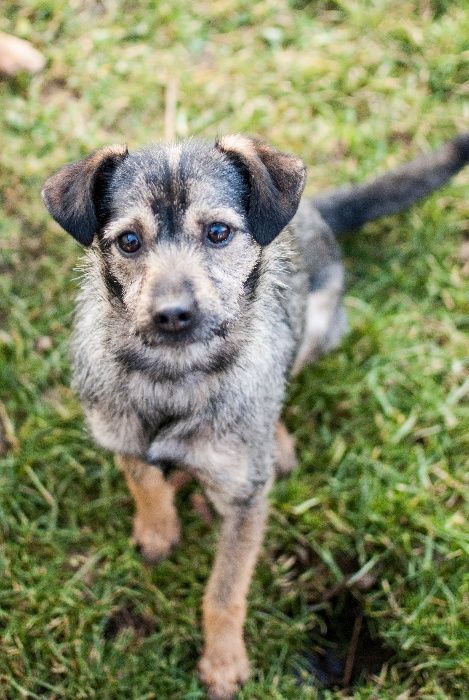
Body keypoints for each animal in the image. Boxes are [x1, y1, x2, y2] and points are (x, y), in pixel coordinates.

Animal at [42, 134, 466, 696]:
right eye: (129, 241)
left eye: (219, 232)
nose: (172, 314)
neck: (173, 377)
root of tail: (314, 210)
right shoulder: (118, 430)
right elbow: (141, 477)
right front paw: (158, 528)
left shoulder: (245, 499)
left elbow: (225, 592)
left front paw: (223, 662)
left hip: (320, 322)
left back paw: (276, 442)